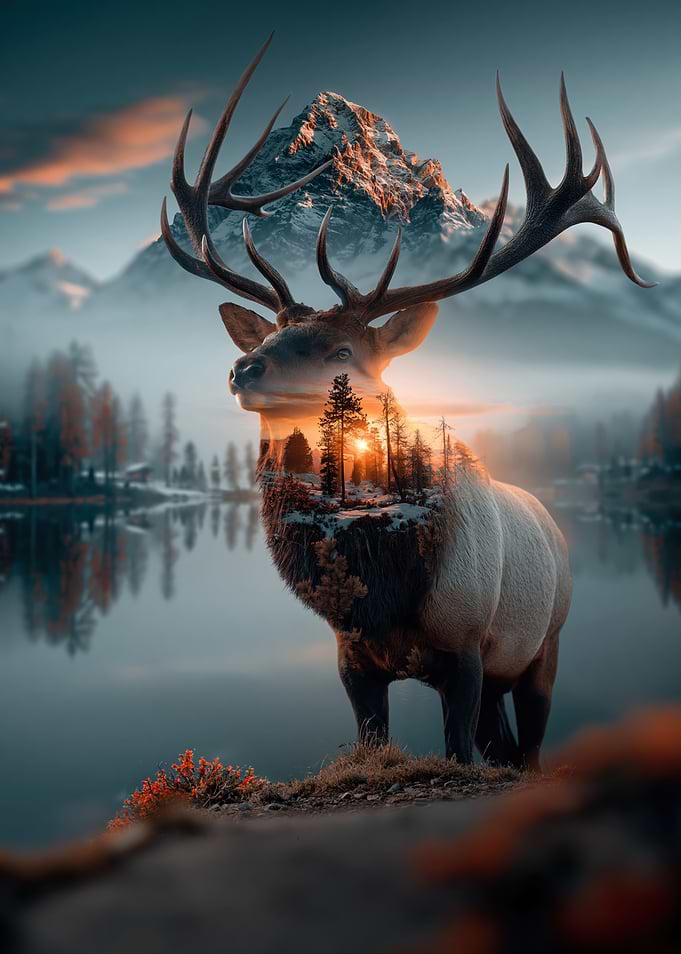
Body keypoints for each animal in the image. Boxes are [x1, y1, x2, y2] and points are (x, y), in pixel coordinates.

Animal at [161, 36, 653, 770]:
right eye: (271, 334)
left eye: (342, 352)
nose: (245, 368)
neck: (387, 597)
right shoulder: (353, 660)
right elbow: (375, 739)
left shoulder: (468, 647)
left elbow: (459, 751)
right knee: (503, 739)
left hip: (544, 645)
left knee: (529, 745)